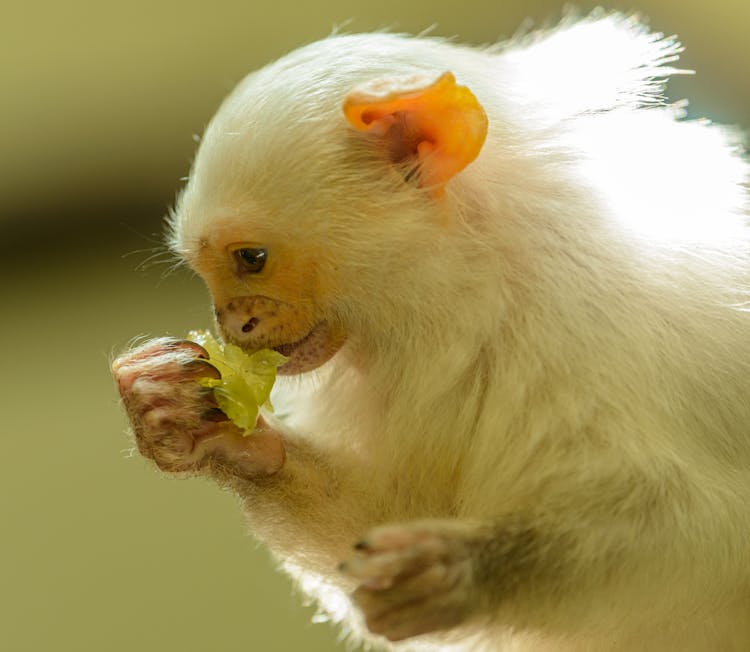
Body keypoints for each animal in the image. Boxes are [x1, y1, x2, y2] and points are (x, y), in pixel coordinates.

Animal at [113, 11, 750, 652]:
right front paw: (198, 423)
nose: (232, 324)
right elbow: (380, 520)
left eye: (251, 258)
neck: (487, 294)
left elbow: (706, 536)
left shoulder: (594, 341)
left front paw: (460, 568)